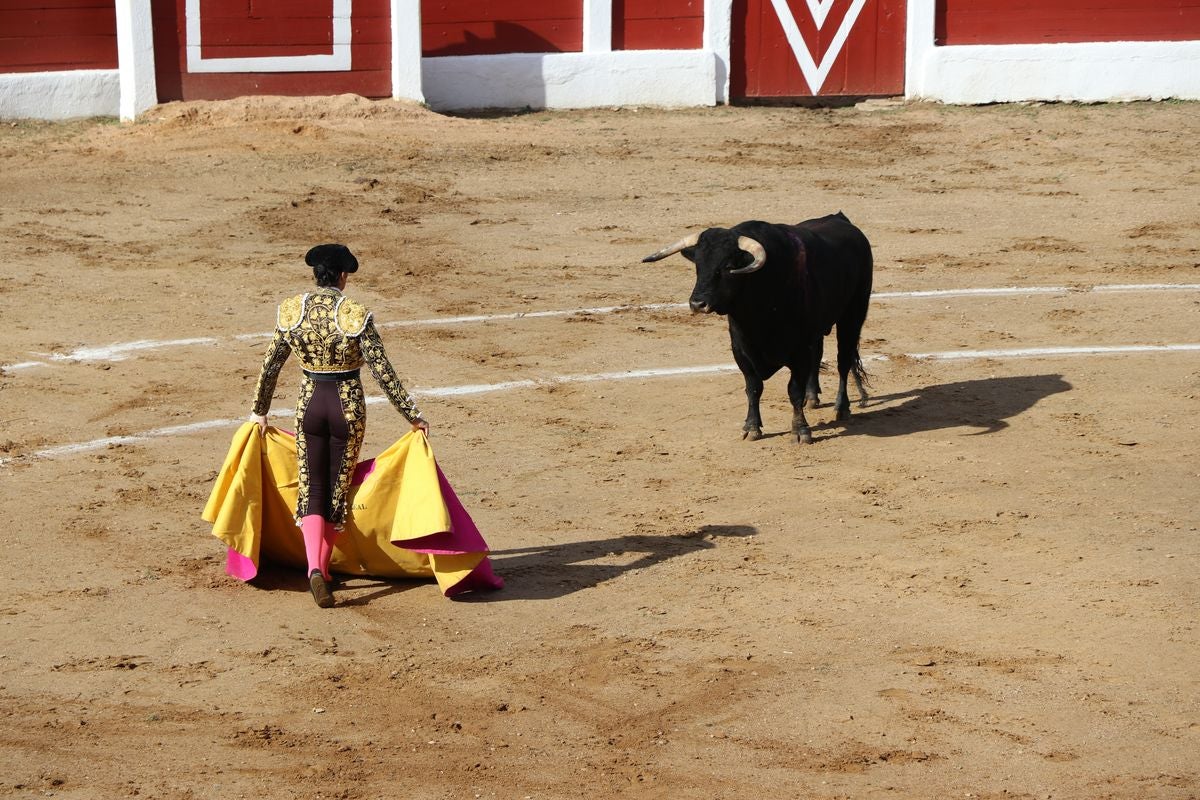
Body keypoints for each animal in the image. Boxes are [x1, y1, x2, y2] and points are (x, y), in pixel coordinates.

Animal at [643, 212, 878, 443]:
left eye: (728, 267)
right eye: (698, 266)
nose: (698, 304)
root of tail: (840, 218)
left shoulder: (799, 350)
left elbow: (794, 390)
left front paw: (800, 430)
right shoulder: (741, 349)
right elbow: (753, 387)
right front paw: (751, 427)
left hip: (852, 315)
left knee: (843, 361)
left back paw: (842, 408)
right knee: (818, 355)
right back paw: (812, 398)